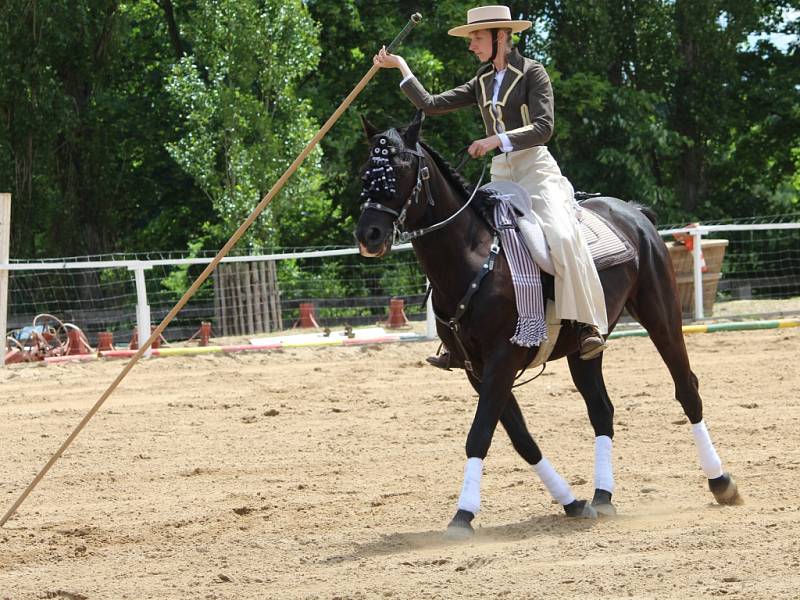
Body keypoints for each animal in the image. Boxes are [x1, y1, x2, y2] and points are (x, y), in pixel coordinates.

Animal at [354, 113, 740, 540]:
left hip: (663, 316)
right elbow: (520, 438)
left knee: (686, 388)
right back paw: (603, 495)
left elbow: (480, 434)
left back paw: (721, 482)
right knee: (601, 409)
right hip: (584, 348)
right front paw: (572, 502)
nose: (368, 235)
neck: (476, 258)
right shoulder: (476, 368)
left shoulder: (502, 359)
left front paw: (463, 515)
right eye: (365, 171)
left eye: (401, 170)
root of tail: (633, 212)